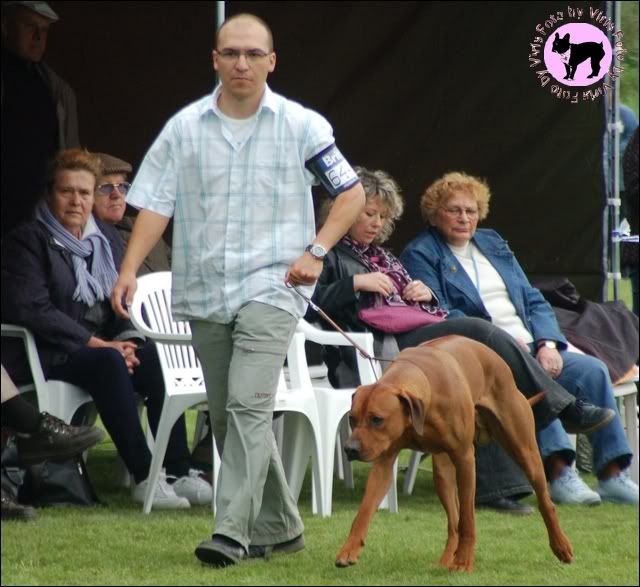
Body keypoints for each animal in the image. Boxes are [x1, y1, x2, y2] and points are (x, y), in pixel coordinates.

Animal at [336, 335, 573, 572]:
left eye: (377, 419)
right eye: (352, 419)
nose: (350, 449)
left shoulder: (465, 459)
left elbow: (467, 518)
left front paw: (463, 561)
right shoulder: (384, 460)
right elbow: (364, 511)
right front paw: (349, 550)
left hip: (525, 450)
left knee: (545, 502)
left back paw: (560, 545)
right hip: (443, 472)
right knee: (452, 521)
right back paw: (446, 559)